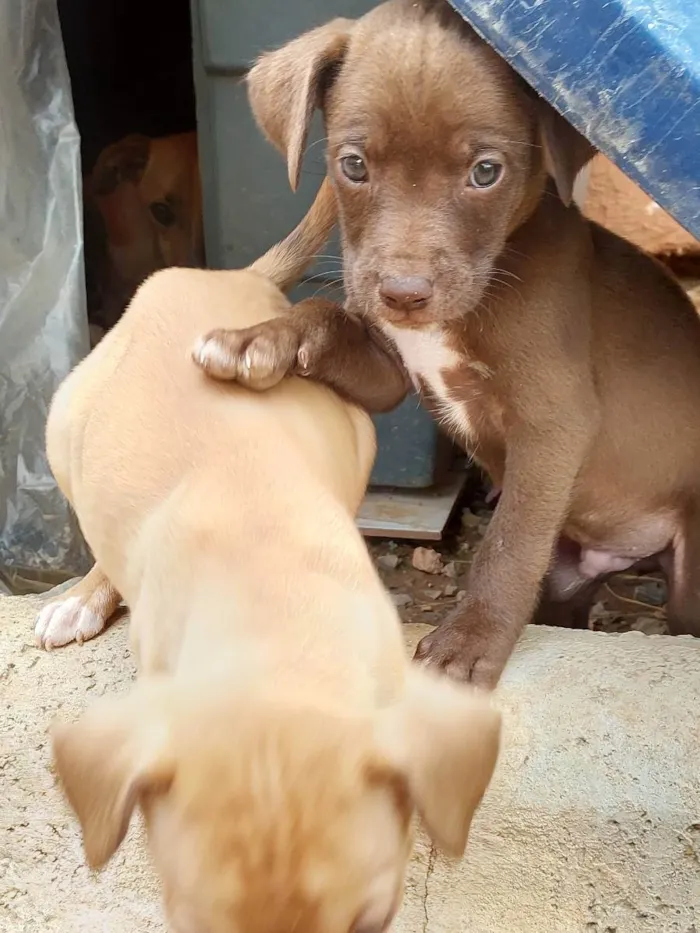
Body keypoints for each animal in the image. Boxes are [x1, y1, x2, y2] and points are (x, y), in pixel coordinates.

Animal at [194, 0, 700, 688]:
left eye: (486, 171)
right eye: (354, 164)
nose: (404, 294)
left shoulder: (554, 422)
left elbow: (509, 543)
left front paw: (469, 640)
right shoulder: (390, 367)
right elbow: (325, 314)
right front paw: (260, 340)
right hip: (567, 575)